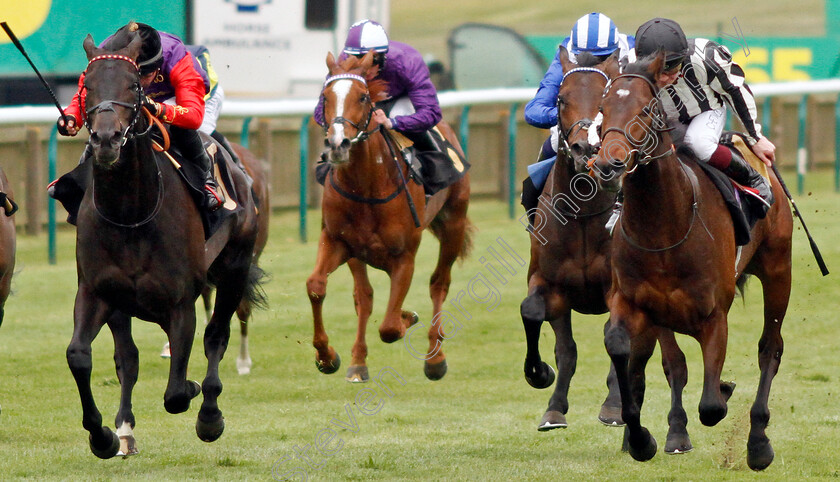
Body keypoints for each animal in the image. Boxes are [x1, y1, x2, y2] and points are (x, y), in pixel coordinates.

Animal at [66, 32, 262, 458]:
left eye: (133, 86)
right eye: (86, 87)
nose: (106, 139)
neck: (131, 213)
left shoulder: (180, 303)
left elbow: (176, 392)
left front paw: (195, 395)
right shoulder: (95, 292)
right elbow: (80, 356)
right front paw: (103, 436)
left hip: (235, 267)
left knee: (216, 337)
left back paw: (209, 414)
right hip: (122, 305)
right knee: (128, 357)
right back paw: (124, 431)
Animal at [308, 50, 472, 382]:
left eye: (362, 97)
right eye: (325, 97)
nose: (338, 144)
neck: (368, 184)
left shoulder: (404, 256)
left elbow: (390, 327)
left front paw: (408, 317)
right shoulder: (337, 241)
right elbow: (318, 287)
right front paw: (327, 356)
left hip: (454, 224)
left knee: (439, 283)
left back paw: (435, 358)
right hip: (358, 254)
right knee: (365, 296)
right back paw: (358, 362)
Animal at [520, 49, 700, 456]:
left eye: (601, 99)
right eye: (560, 99)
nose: (585, 148)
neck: (584, 213)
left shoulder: (617, 290)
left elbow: (620, 346)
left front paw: (614, 407)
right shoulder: (548, 280)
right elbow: (537, 316)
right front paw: (542, 380)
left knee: (664, 361)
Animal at [592, 53, 796, 470]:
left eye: (646, 108)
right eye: (603, 109)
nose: (609, 164)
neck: (664, 228)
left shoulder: (714, 314)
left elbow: (712, 406)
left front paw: (721, 395)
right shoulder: (638, 303)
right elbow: (631, 352)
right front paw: (645, 438)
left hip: (777, 269)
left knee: (770, 348)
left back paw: (758, 443)